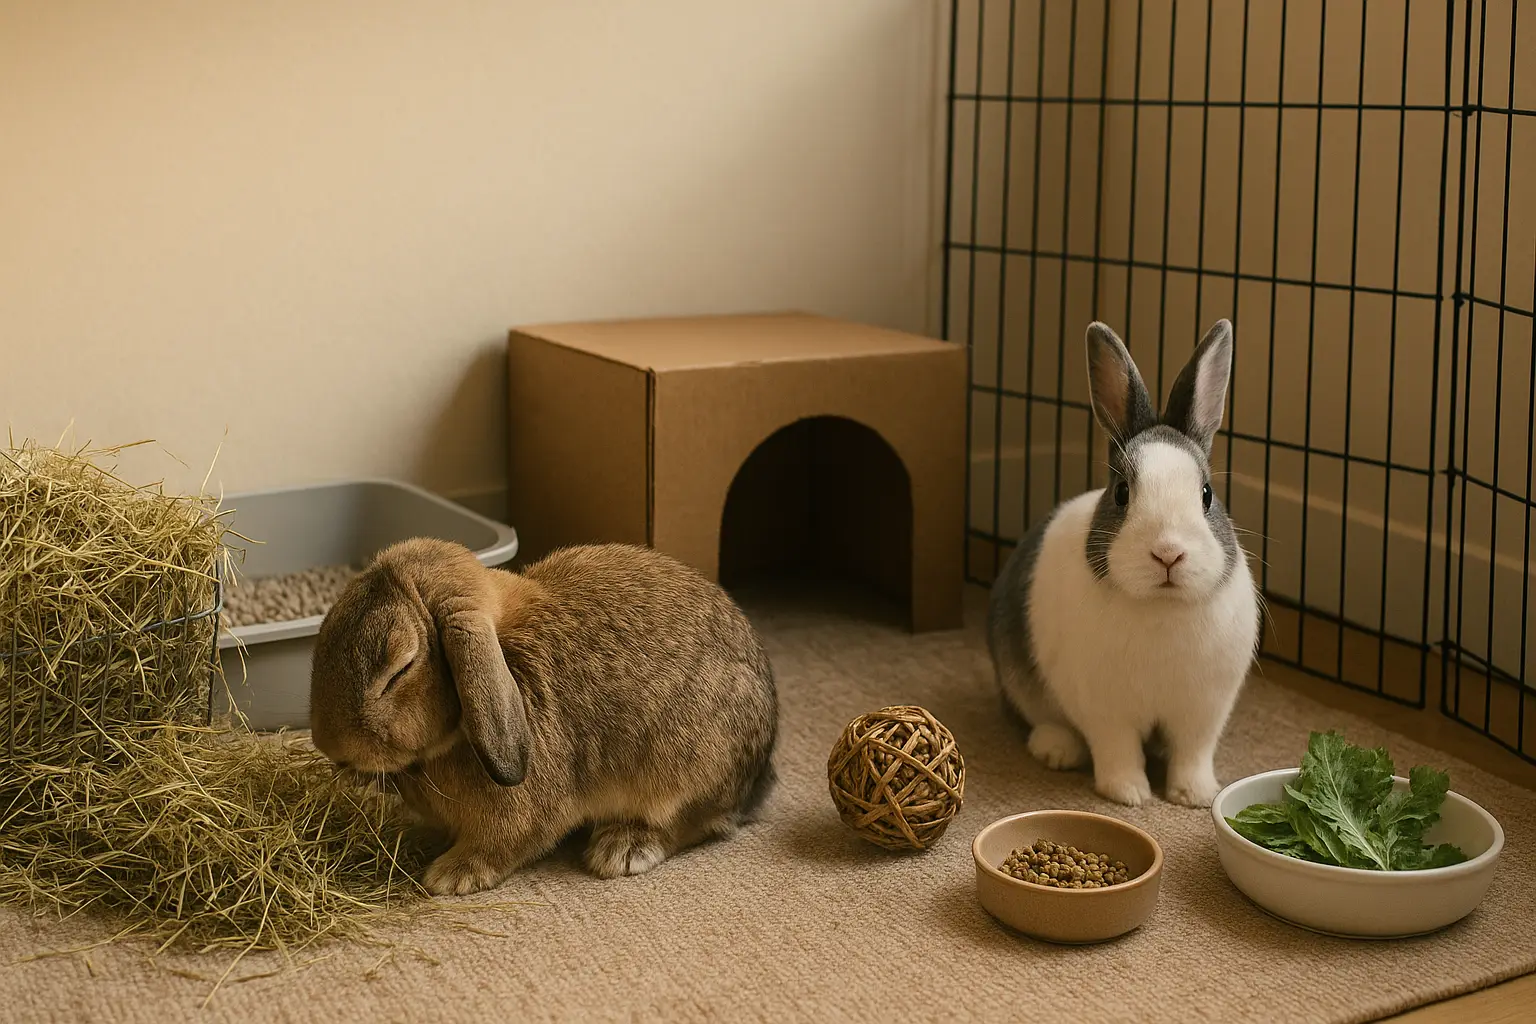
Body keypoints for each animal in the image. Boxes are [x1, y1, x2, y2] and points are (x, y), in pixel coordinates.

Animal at [308, 537, 779, 896]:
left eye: (399, 669)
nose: (330, 747)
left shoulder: (518, 818)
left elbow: (503, 844)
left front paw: (452, 876)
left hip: (685, 766)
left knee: (693, 822)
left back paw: (623, 849)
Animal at [987, 318, 1260, 809]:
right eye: (1121, 493)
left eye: (1206, 494)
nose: (1168, 553)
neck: (1160, 606)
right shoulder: (1106, 710)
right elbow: (1118, 751)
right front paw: (1130, 795)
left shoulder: (1203, 711)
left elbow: (1192, 753)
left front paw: (1195, 796)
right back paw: (1056, 750)